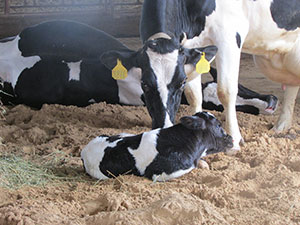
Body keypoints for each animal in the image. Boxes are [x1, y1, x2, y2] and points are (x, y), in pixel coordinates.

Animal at [103, 0, 300, 153]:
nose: (164, 126)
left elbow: (225, 91)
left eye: (181, 82)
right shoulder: (192, 46)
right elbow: (194, 95)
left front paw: (234, 140)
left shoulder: (229, 36)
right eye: (144, 84)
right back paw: (281, 126)